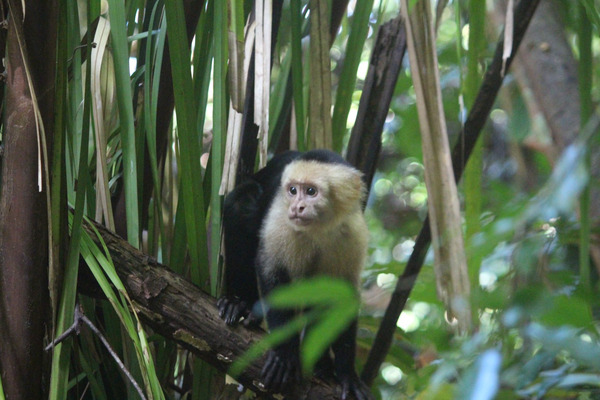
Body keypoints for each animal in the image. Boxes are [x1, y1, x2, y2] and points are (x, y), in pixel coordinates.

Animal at [218, 148, 372, 398]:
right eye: (292, 190)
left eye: (311, 191)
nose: (297, 207)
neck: (319, 227)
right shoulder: (281, 219)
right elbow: (272, 271)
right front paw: (283, 354)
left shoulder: (353, 232)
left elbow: (341, 296)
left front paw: (347, 374)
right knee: (242, 201)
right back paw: (241, 304)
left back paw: (322, 365)